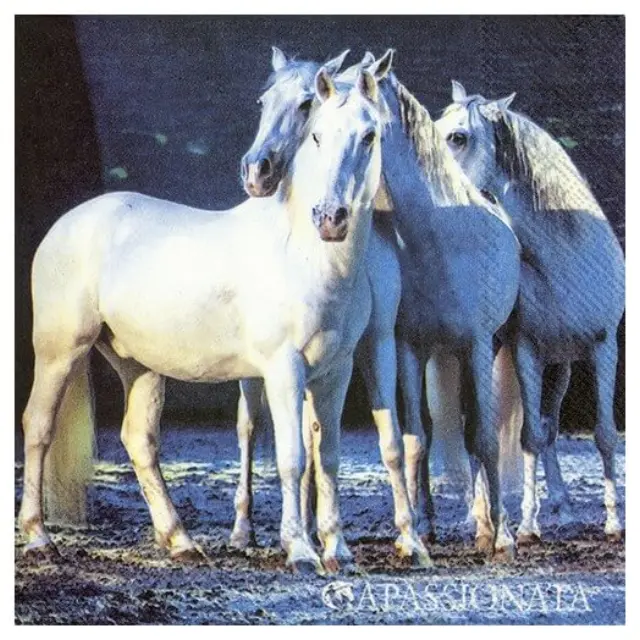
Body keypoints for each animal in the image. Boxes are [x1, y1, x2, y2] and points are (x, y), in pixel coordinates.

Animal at [18, 63, 388, 573]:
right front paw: (299, 551)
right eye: (316, 134)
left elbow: (327, 457)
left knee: (140, 440)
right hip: (60, 350)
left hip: (137, 365)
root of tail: (67, 223)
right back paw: (38, 538)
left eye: (369, 135)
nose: (331, 218)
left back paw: (180, 541)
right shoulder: (283, 370)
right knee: (38, 427)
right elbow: (293, 458)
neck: (305, 256)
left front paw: (338, 551)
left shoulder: (336, 372)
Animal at [233, 47, 430, 567]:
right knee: (249, 428)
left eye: (306, 104)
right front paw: (304, 537)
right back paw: (244, 529)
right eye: (262, 102)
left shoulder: (376, 342)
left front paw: (410, 537)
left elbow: (388, 441)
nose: (257, 172)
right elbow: (298, 446)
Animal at [435, 82, 625, 542]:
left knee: (550, 425)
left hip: (562, 368)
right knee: (479, 430)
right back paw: (479, 517)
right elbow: (529, 439)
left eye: (458, 137)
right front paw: (526, 525)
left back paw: (564, 505)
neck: (565, 255)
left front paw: (613, 521)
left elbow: (603, 435)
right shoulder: (526, 351)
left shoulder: (603, 347)